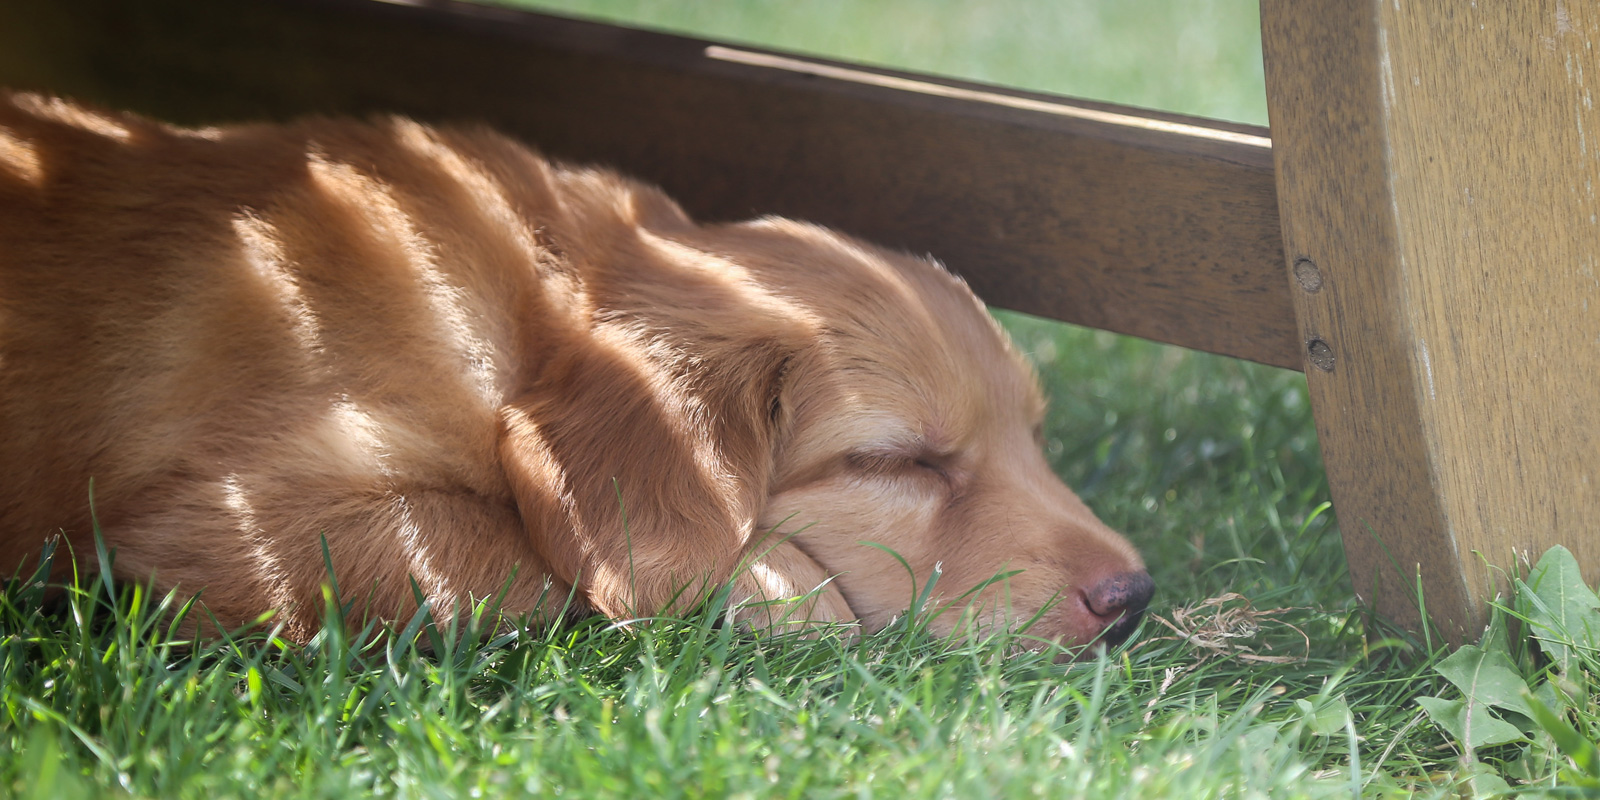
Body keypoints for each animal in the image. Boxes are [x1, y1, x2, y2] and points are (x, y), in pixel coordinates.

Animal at [0, 90, 1152, 646]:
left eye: (1035, 437)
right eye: (900, 460)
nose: (1136, 595)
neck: (528, 313)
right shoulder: (232, 519)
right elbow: (510, 554)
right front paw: (781, 589)